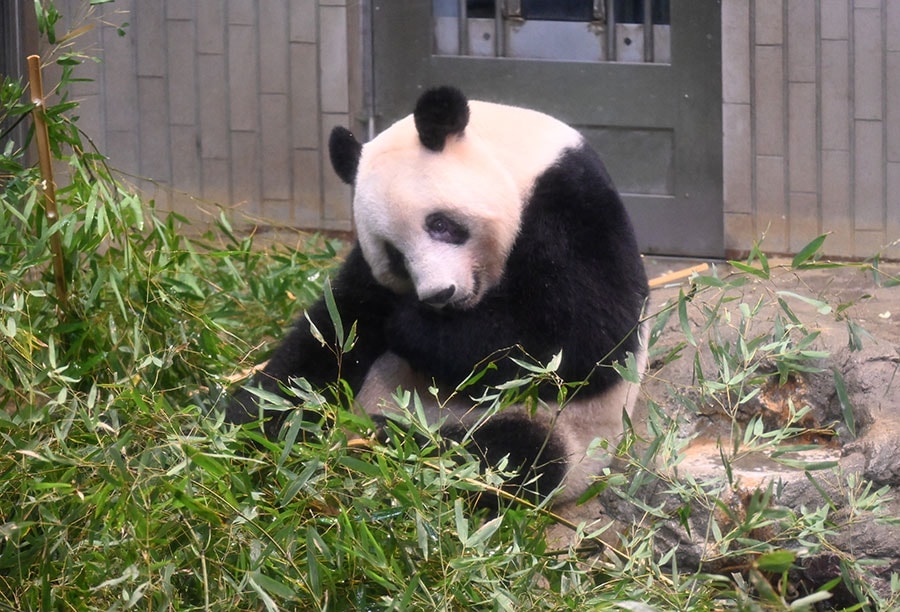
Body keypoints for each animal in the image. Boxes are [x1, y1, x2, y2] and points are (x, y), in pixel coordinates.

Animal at [225, 86, 648, 506]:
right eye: (395, 255)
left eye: (441, 224)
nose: (439, 294)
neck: (514, 157)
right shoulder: (367, 281)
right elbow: (332, 335)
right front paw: (246, 421)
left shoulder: (571, 205)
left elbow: (583, 339)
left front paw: (413, 328)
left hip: (560, 428)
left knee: (509, 456)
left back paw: (393, 442)